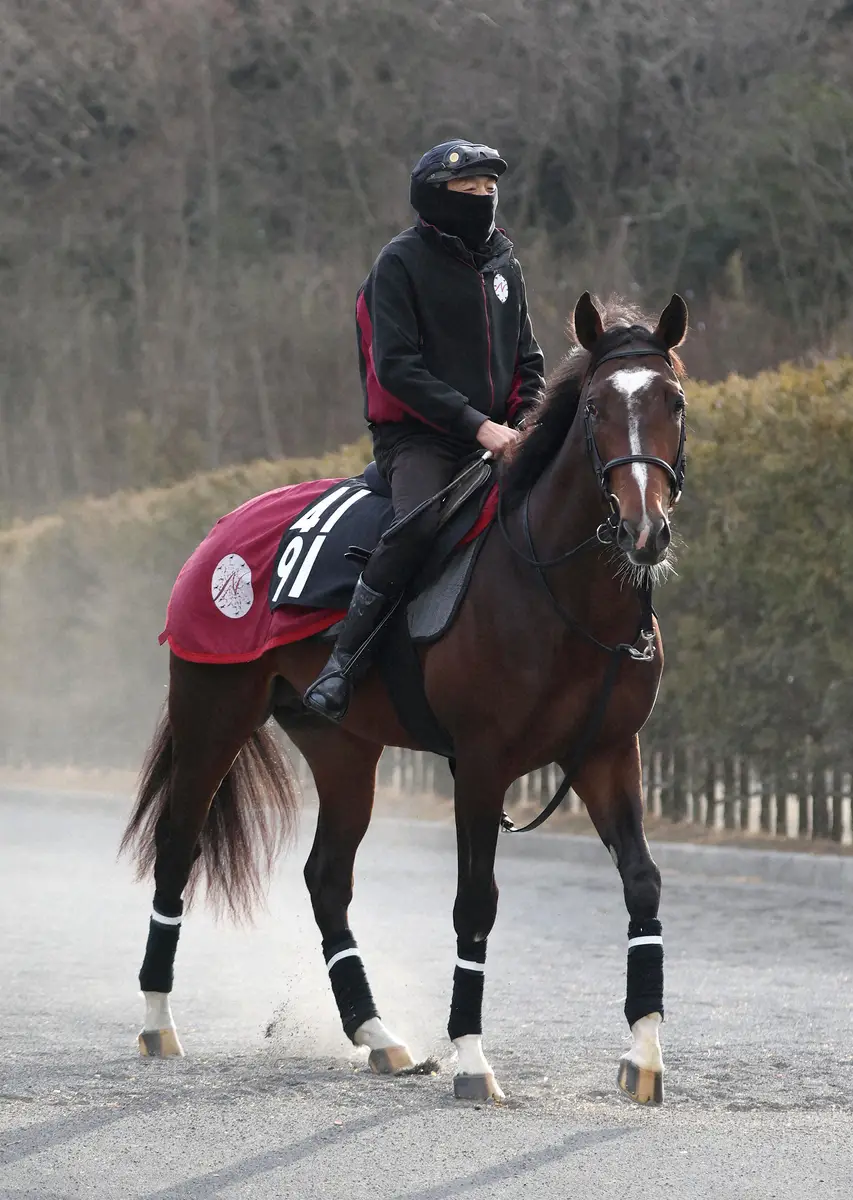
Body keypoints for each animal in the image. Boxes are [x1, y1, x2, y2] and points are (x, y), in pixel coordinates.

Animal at [121, 290, 689, 1106]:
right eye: (593, 410)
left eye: (673, 401)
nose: (646, 530)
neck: (555, 589)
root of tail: (222, 529)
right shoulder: (480, 765)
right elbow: (475, 903)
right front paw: (472, 1059)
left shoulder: (607, 754)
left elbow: (642, 884)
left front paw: (643, 1051)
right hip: (212, 715)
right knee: (177, 847)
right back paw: (157, 1021)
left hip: (342, 749)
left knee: (327, 878)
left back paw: (376, 1034)